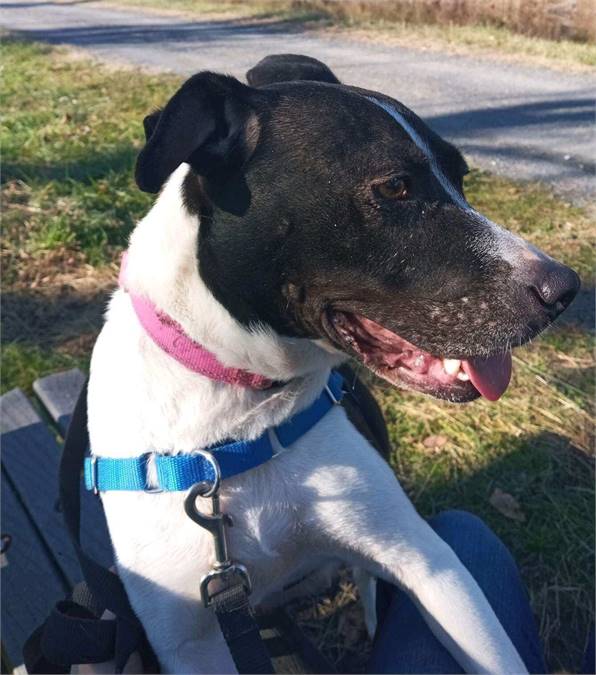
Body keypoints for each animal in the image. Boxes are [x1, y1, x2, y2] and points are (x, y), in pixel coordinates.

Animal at [88, 55, 576, 672]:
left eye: (462, 178)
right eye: (395, 187)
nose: (566, 289)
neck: (241, 409)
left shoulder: (431, 563)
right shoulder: (185, 641)